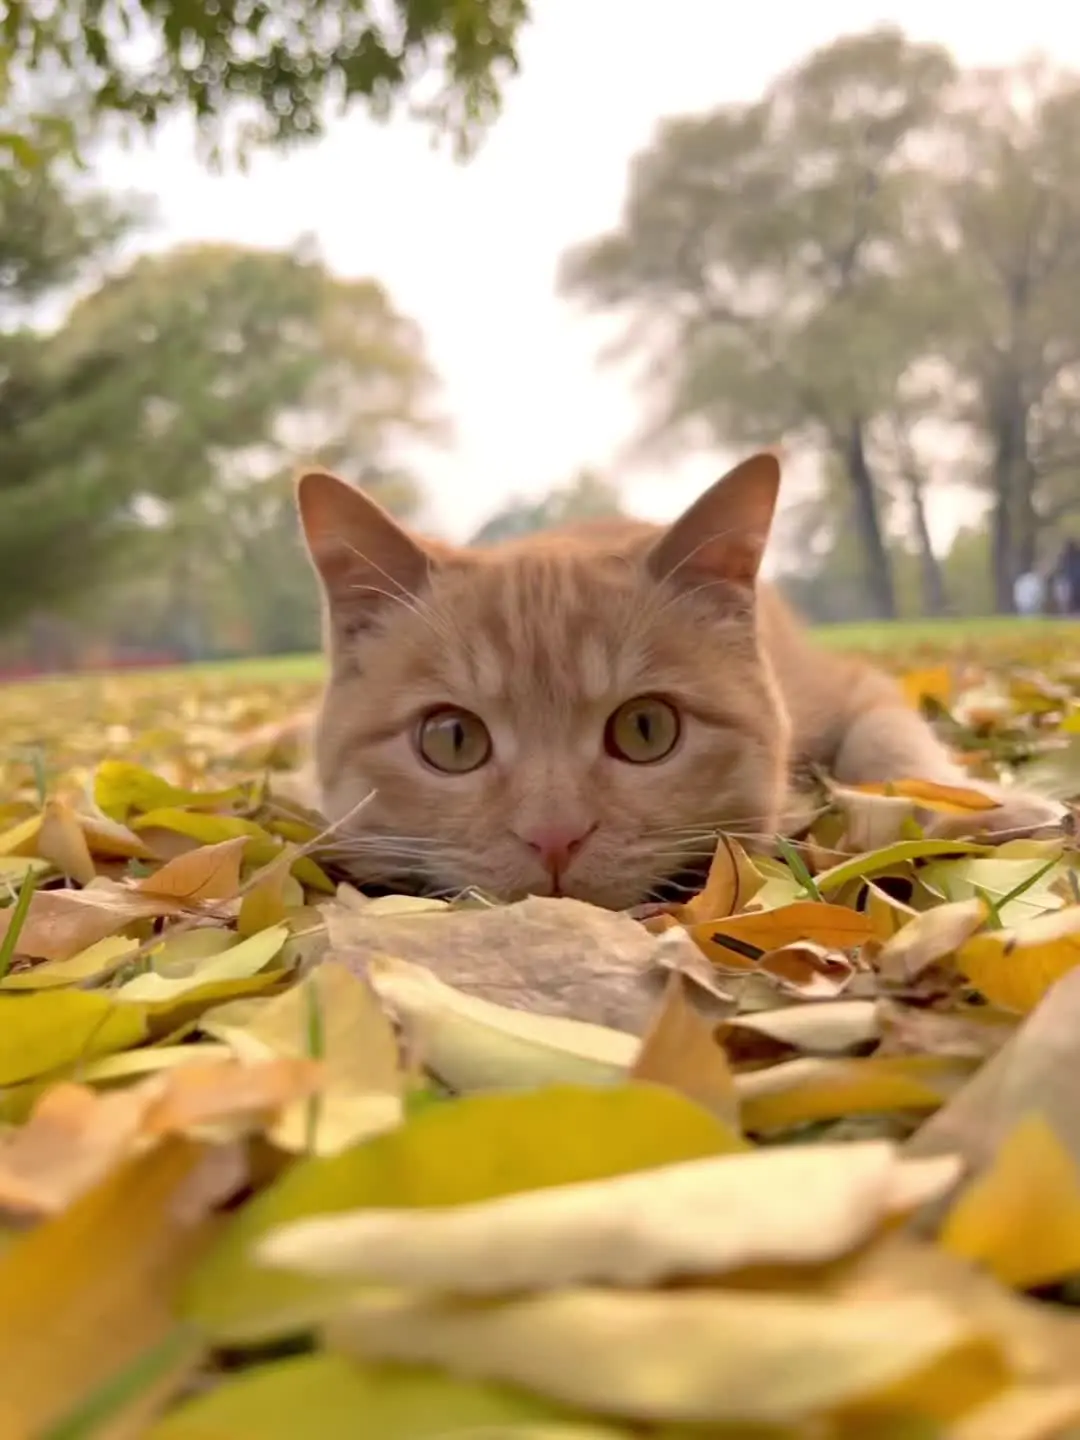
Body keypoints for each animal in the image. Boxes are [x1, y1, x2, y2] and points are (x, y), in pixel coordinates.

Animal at [296, 455, 1065, 910]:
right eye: (452, 739)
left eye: (646, 729)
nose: (554, 837)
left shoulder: (854, 687)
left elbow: (893, 744)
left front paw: (985, 807)